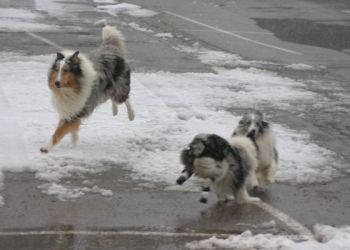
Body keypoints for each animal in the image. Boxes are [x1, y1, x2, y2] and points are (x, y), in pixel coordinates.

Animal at [40, 23, 135, 152]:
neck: (71, 88)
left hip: (118, 87)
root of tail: (110, 48)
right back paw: (115, 111)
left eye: (66, 70)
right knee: (113, 99)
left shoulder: (78, 110)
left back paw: (131, 115)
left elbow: (58, 132)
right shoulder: (69, 109)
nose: (57, 83)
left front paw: (46, 148)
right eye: (56, 70)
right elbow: (71, 131)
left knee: (124, 98)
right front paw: (74, 144)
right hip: (104, 92)